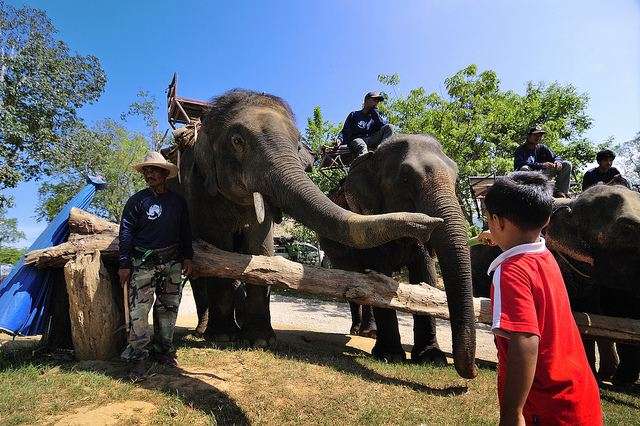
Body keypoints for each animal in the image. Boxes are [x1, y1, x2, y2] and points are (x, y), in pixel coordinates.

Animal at [167, 89, 445, 348]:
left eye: (297, 144)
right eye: (237, 141)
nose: (430, 224)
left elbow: (260, 245)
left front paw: (260, 341)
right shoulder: (196, 187)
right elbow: (217, 244)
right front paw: (223, 337)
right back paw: (206, 332)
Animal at [319, 134, 478, 380]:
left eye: (456, 178)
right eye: (405, 179)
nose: (474, 371)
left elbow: (425, 274)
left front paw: (432, 358)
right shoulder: (368, 221)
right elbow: (379, 274)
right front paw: (390, 356)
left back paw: (370, 333)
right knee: (353, 279)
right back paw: (358, 330)